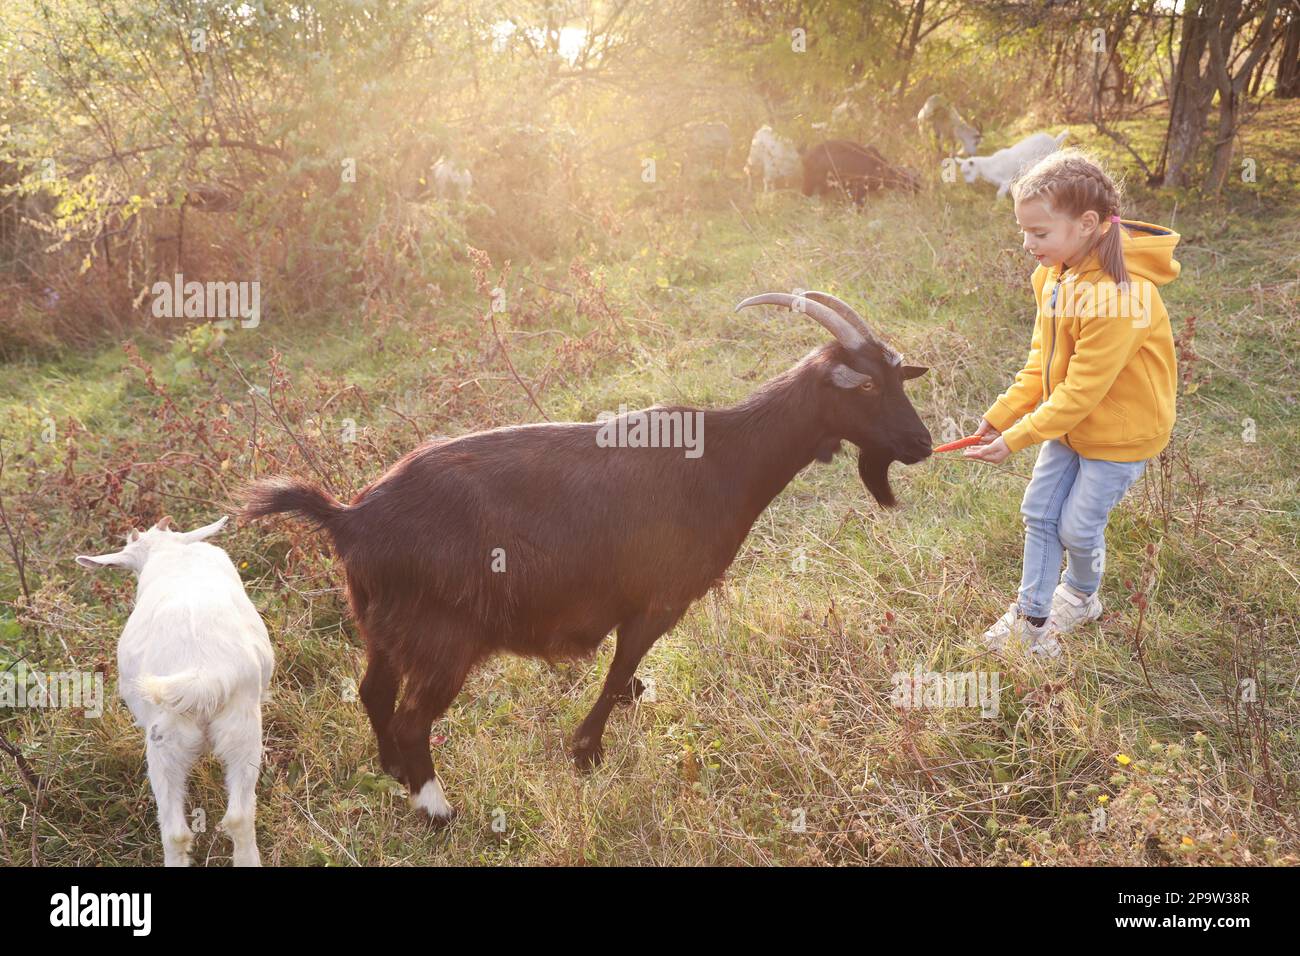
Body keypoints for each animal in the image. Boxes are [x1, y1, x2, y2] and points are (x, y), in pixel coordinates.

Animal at [76, 516, 274, 866]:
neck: (169, 553)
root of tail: (203, 674)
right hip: (243, 731)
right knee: (239, 816)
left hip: (164, 742)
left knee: (175, 832)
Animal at [242, 292, 931, 826]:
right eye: (868, 384)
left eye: (898, 378)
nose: (922, 444)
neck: (725, 457)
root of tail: (350, 518)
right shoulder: (657, 600)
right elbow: (620, 665)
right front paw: (585, 751)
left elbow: (625, 675)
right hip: (443, 637)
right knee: (413, 718)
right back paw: (437, 810)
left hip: (383, 627)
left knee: (373, 691)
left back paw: (393, 774)